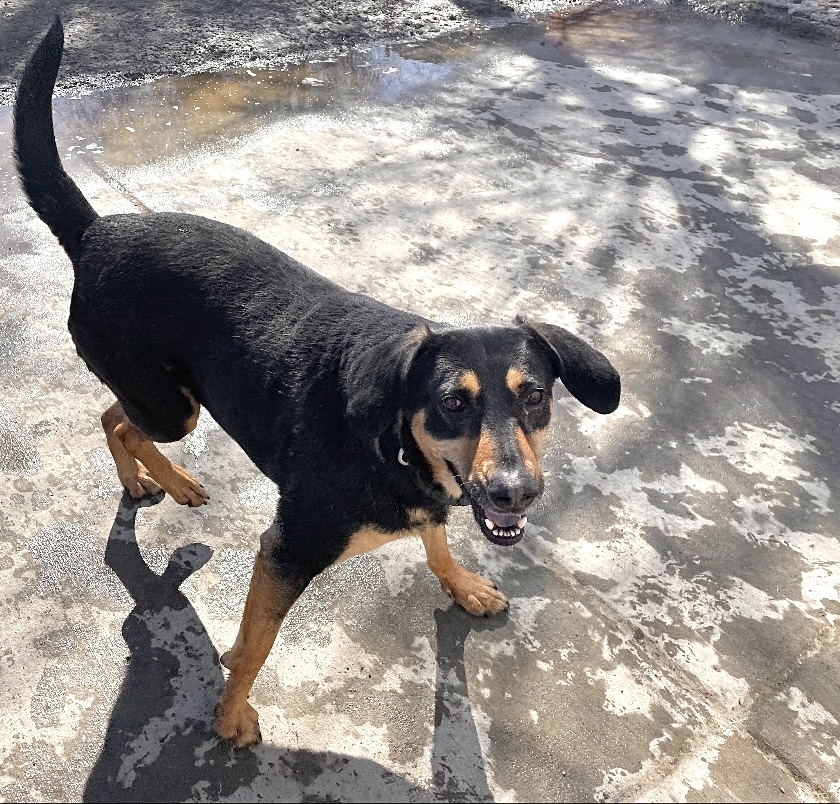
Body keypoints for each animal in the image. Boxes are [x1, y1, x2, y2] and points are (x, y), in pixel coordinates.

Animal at [11, 17, 616, 748]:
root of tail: (97, 229)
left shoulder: (433, 502)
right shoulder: (286, 550)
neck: (396, 447)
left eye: (536, 396)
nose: (515, 492)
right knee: (116, 419)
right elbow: (256, 645)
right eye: (451, 402)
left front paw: (462, 584)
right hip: (172, 408)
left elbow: (437, 542)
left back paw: (156, 480)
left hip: (169, 401)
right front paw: (230, 710)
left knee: (112, 415)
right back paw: (165, 479)